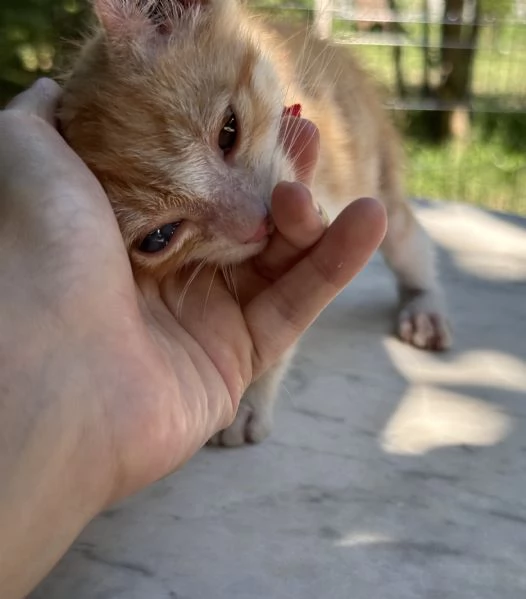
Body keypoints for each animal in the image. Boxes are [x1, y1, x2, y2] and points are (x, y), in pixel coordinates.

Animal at [58, 0, 454, 446]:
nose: (258, 223)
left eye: (229, 130)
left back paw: (423, 305)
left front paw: (250, 401)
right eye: (159, 237)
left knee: (406, 237)